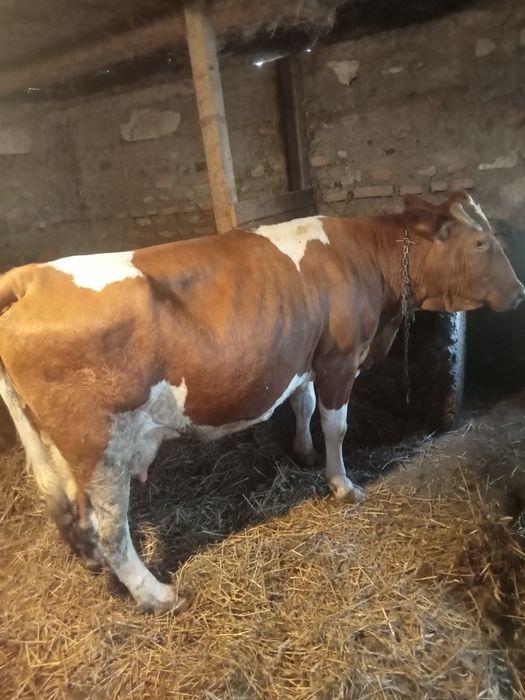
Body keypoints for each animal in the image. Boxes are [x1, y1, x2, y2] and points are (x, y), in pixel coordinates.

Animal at [0, 191, 522, 614]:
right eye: (481, 243)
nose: (518, 292)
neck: (366, 259)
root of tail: (31, 277)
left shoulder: (305, 356)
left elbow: (304, 406)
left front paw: (304, 453)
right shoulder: (339, 358)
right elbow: (336, 425)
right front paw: (343, 485)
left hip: (58, 443)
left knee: (75, 507)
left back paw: (93, 561)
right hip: (101, 445)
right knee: (113, 531)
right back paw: (156, 595)